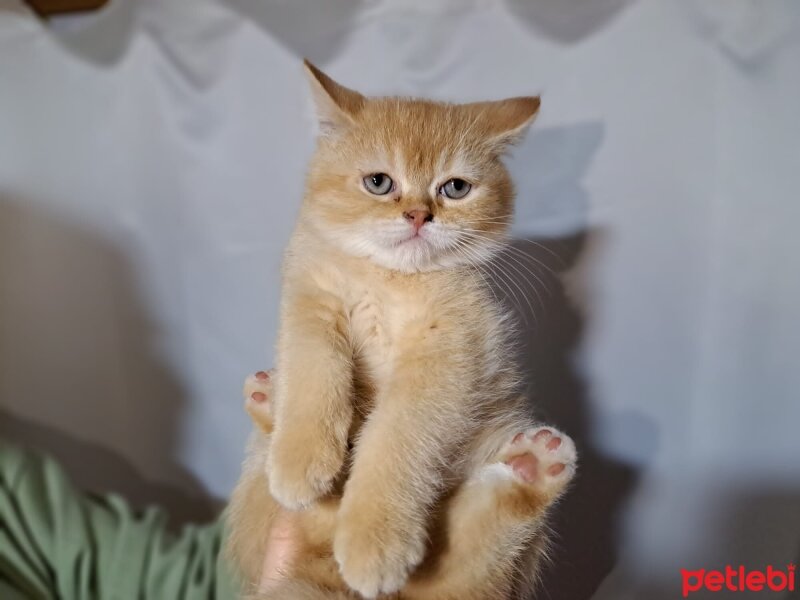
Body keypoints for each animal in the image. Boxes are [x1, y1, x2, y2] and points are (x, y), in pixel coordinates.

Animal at [225, 62, 576, 600]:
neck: (389, 281)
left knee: (465, 570)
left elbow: (397, 434)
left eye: (455, 188)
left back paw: (532, 470)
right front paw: (302, 457)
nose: (417, 215)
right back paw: (270, 410)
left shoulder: (449, 352)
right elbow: (314, 366)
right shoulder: (310, 299)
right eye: (378, 181)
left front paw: (375, 537)